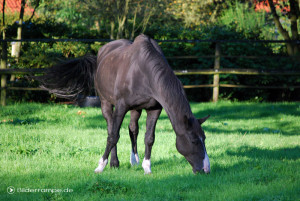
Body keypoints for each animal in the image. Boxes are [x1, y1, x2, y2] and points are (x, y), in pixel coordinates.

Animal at [35, 34, 211, 174]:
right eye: (194, 141)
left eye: (204, 138)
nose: (206, 169)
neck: (144, 72)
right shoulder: (121, 106)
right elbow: (113, 135)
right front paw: (101, 166)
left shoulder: (154, 109)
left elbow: (149, 137)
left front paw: (147, 167)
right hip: (106, 103)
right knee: (110, 127)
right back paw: (114, 162)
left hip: (136, 109)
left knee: (133, 128)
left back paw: (134, 160)